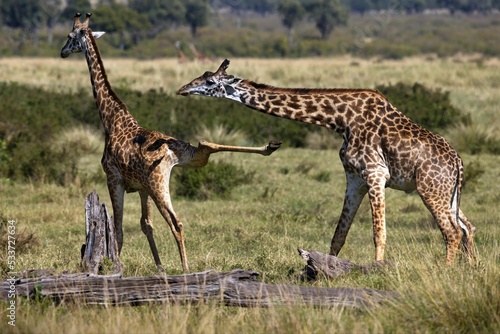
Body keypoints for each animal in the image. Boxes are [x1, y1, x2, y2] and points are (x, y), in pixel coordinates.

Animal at [59, 14, 282, 272]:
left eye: (70, 36)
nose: (63, 52)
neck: (110, 119)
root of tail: (167, 151)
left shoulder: (113, 178)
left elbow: (119, 229)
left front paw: (114, 265)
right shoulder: (141, 187)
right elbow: (146, 225)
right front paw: (159, 267)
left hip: (158, 183)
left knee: (177, 223)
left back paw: (186, 268)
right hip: (185, 158)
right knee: (206, 145)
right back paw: (270, 146)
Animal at [177, 58, 476, 264]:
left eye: (209, 83)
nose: (182, 89)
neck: (339, 120)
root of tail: (459, 162)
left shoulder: (375, 173)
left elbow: (378, 232)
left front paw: (378, 271)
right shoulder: (354, 178)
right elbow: (339, 234)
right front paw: (322, 270)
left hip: (430, 188)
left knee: (452, 231)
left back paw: (448, 270)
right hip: (449, 193)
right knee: (467, 227)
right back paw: (471, 269)